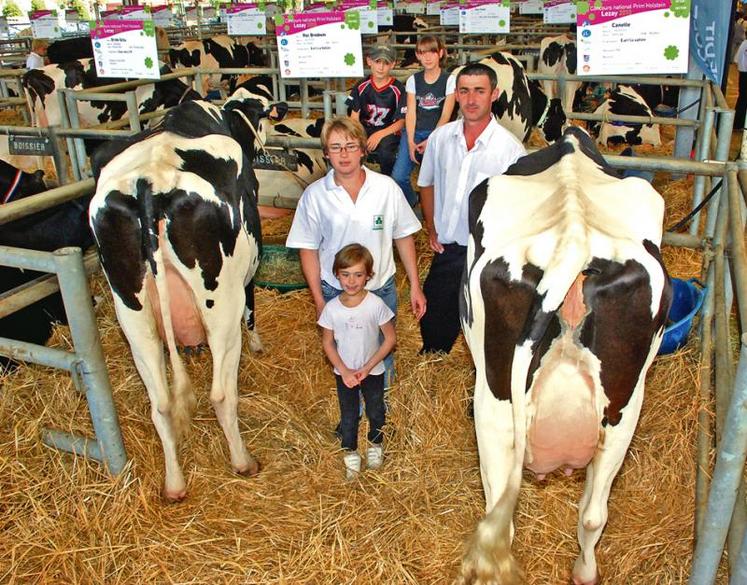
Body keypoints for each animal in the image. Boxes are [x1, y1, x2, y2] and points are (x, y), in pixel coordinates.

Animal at [88, 86, 286, 498]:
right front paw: (258, 345)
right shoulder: (248, 271)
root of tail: (147, 183)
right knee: (221, 394)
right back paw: (243, 461)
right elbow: (252, 311)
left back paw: (174, 483)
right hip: (221, 304)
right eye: (261, 113)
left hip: (132, 313)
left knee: (161, 403)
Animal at [456, 128, 672, 584]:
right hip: (625, 403)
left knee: (501, 512)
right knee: (593, 514)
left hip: (495, 401)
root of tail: (575, 236)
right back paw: (585, 571)